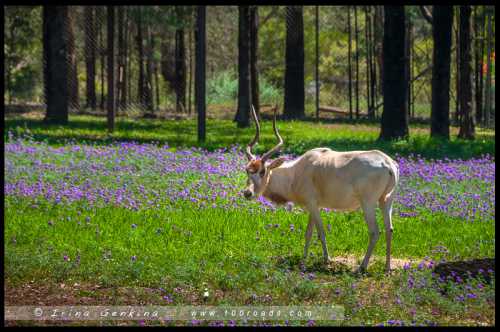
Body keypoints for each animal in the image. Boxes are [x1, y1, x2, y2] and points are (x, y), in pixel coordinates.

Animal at [241, 106, 398, 272]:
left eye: (262, 171)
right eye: (247, 170)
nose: (247, 193)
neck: (295, 172)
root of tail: (388, 163)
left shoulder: (313, 205)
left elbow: (320, 232)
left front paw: (326, 259)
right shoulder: (313, 206)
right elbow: (308, 233)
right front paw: (303, 260)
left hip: (367, 203)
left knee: (374, 232)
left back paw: (361, 267)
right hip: (386, 201)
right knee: (389, 229)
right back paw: (387, 268)